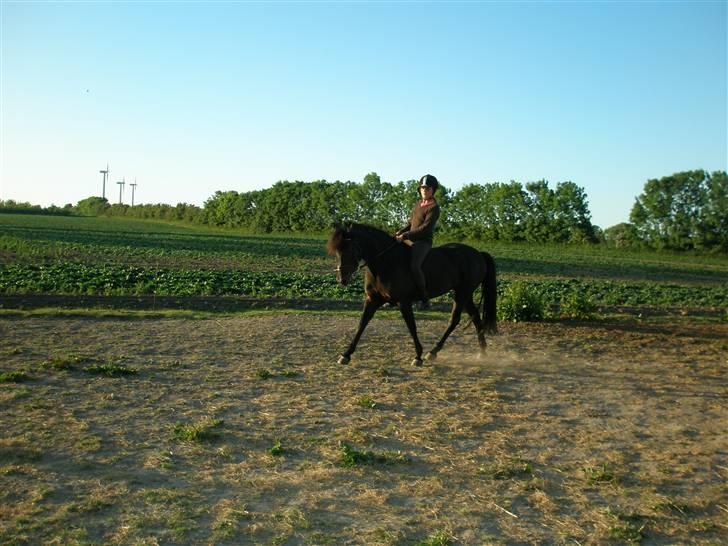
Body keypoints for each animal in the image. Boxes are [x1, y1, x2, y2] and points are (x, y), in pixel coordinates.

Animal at [328, 221, 498, 366]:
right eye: (337, 251)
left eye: (350, 248)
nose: (342, 279)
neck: (386, 262)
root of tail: (478, 254)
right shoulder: (372, 299)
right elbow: (361, 324)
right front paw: (346, 355)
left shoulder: (404, 302)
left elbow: (411, 326)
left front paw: (418, 356)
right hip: (465, 294)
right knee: (475, 316)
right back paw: (482, 352)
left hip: (462, 292)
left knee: (454, 320)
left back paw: (433, 352)